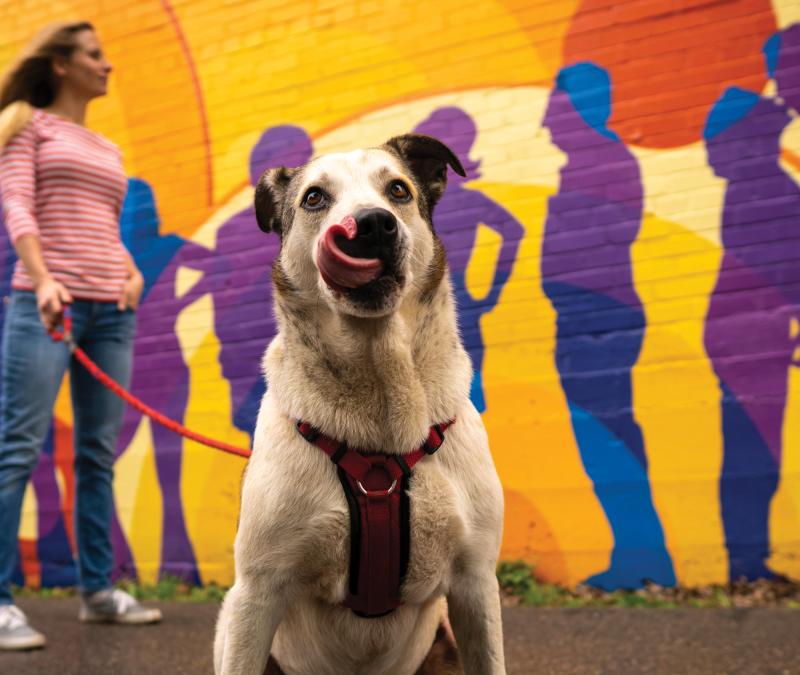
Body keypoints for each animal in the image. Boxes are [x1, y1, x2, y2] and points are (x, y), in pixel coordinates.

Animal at [212, 135, 506, 672]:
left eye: (399, 190)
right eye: (314, 198)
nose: (371, 224)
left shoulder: (476, 584)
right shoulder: (256, 593)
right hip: (229, 622)